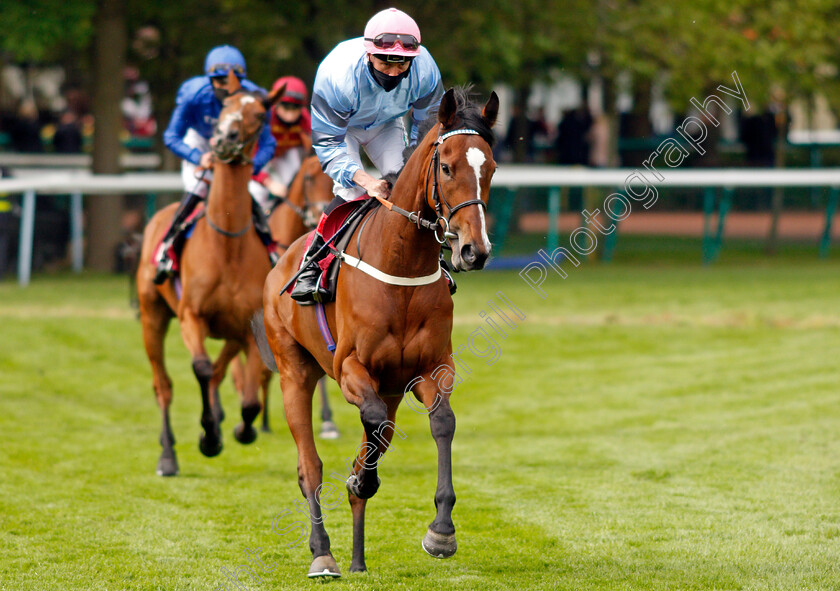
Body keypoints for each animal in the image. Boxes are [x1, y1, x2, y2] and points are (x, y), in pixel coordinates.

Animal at [136, 70, 284, 476]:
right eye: (225, 107)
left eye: (260, 116)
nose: (222, 140)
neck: (227, 245)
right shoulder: (191, 316)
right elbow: (201, 368)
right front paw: (208, 437)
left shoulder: (250, 327)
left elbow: (249, 400)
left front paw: (238, 430)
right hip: (153, 316)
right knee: (163, 385)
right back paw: (168, 455)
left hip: (231, 332)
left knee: (222, 371)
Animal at [254, 88, 492, 580]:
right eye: (446, 167)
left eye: (492, 168)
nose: (473, 251)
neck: (401, 264)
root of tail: (280, 262)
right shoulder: (350, 368)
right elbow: (368, 426)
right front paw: (362, 480)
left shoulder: (430, 369)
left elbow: (441, 422)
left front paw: (441, 531)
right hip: (295, 372)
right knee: (309, 467)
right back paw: (323, 553)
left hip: (391, 387)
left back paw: (358, 556)